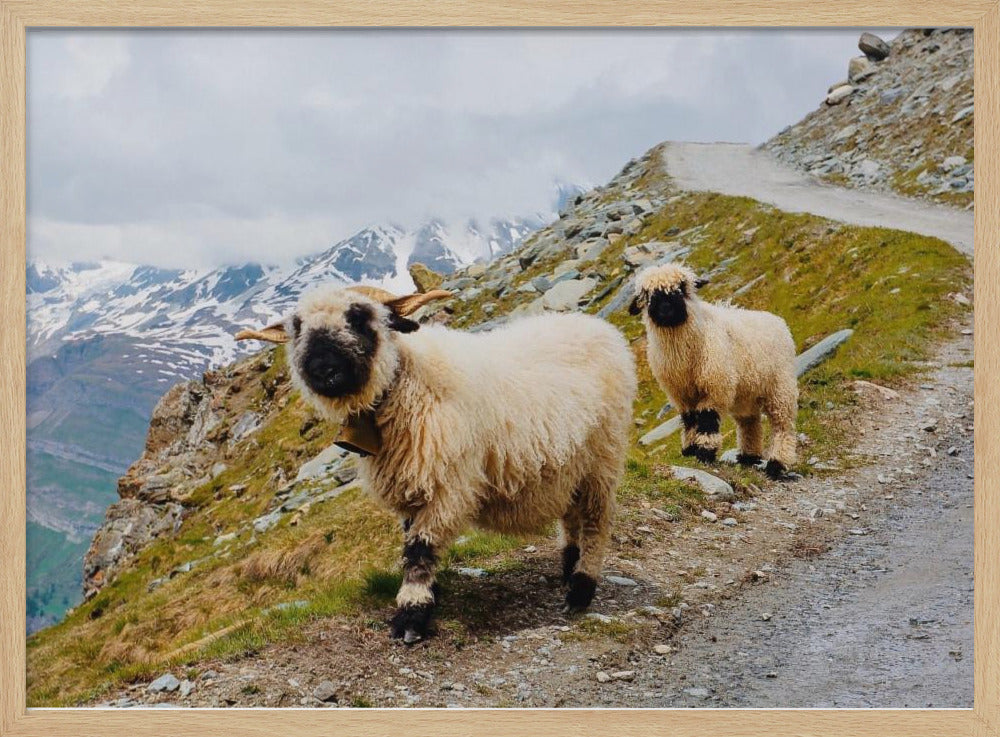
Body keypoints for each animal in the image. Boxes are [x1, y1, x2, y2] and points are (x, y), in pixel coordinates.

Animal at [237, 285, 637, 643]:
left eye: (359, 317)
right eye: (297, 328)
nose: (322, 370)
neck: (404, 383)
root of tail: (599, 327)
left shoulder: (447, 486)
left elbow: (419, 551)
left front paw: (411, 616)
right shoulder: (413, 489)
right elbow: (410, 543)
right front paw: (428, 596)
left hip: (603, 457)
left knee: (596, 522)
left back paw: (581, 590)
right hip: (569, 465)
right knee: (572, 517)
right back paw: (569, 567)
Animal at [628, 263, 798, 480]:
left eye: (682, 287)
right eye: (647, 294)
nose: (666, 308)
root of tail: (779, 322)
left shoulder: (715, 385)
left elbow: (707, 419)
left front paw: (705, 452)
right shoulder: (681, 394)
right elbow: (689, 420)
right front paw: (690, 449)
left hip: (780, 388)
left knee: (782, 426)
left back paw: (776, 464)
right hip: (746, 394)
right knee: (750, 423)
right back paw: (748, 457)